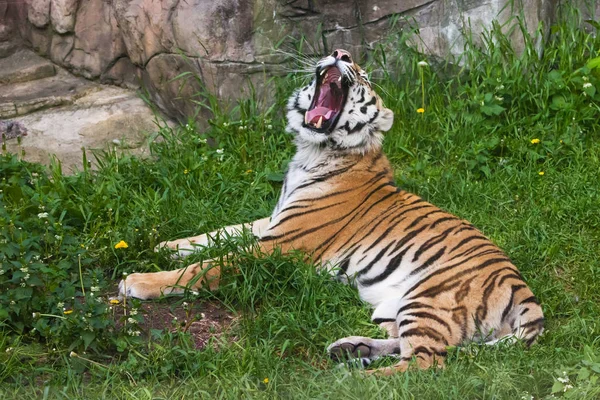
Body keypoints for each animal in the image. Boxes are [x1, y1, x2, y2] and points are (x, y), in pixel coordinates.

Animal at [117, 48, 544, 374]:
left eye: (364, 77)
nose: (341, 53)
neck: (311, 151)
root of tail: (525, 292)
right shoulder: (272, 222)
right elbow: (217, 233)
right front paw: (163, 245)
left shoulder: (279, 246)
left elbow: (206, 266)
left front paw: (138, 280)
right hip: (391, 307)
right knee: (407, 345)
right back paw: (351, 350)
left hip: (428, 298)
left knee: (425, 365)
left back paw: (355, 378)